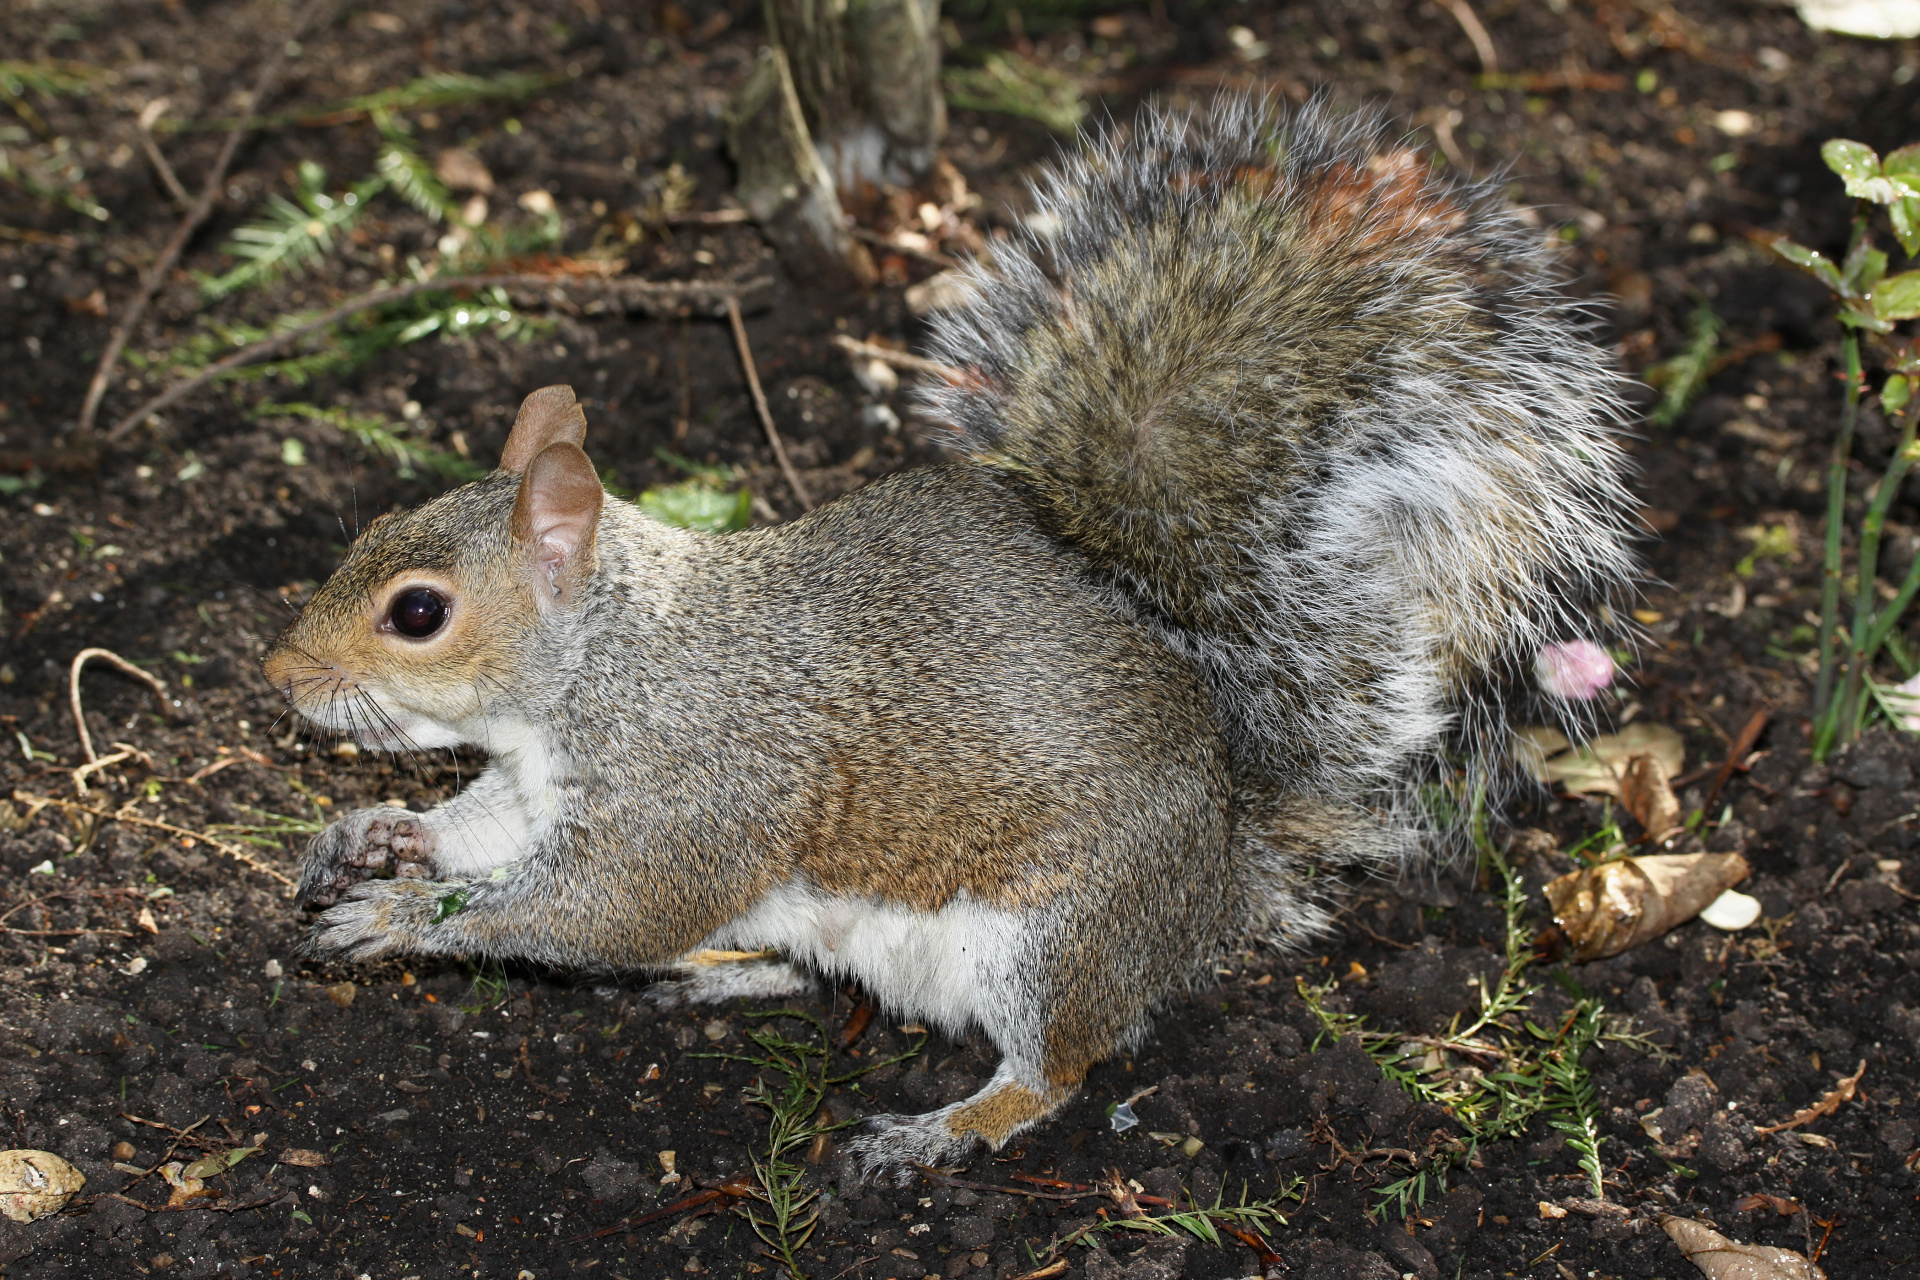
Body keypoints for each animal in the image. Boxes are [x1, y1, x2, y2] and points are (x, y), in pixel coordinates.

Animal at [255, 97, 1635, 1182]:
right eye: (369, 524)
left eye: (418, 610)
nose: (278, 674)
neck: (602, 666)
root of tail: (1219, 867)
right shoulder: (538, 785)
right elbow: (480, 830)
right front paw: (374, 836)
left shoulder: (695, 784)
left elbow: (598, 907)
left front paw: (405, 917)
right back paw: (730, 972)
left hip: (1054, 935)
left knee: (1059, 1065)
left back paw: (943, 1126)